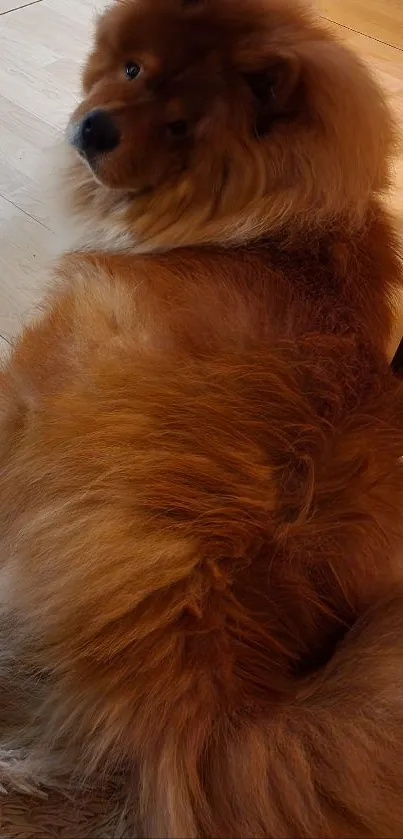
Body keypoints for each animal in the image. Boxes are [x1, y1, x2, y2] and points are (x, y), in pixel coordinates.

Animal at [0, 0, 403, 836]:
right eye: (131, 69)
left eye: (181, 125)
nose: (93, 129)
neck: (273, 235)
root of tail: (222, 686)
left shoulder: (39, 364)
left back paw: (14, 765)